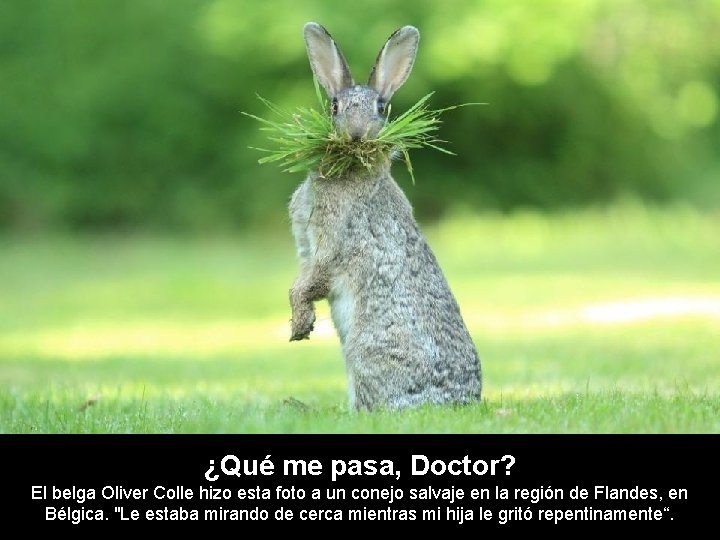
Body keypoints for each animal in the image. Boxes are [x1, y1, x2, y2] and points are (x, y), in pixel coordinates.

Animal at [288, 22, 482, 411]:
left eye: (381, 107)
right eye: (335, 105)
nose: (356, 134)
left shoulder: (331, 244)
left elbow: (312, 281)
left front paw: (299, 325)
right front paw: (301, 323)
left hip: (364, 351)